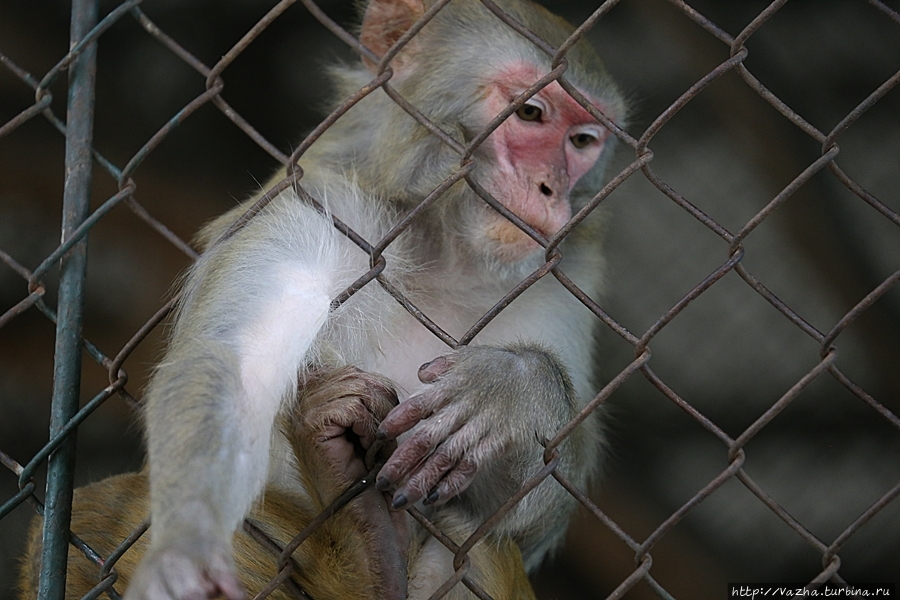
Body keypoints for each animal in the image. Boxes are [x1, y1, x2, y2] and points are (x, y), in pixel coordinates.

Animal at [79, 0, 624, 596]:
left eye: (582, 142)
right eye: (530, 113)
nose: (552, 190)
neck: (444, 247)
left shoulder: (563, 278)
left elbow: (527, 514)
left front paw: (513, 389)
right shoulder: (323, 206)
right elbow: (233, 365)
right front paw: (185, 547)